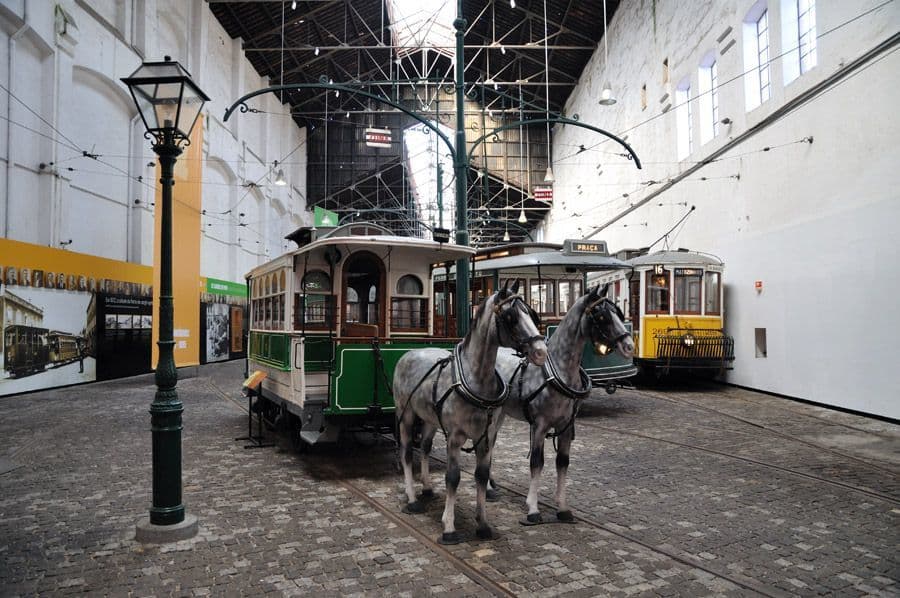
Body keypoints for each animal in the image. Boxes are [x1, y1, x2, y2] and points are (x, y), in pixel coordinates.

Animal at [394, 282, 548, 544]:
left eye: (531, 312)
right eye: (511, 317)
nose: (541, 351)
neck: (476, 378)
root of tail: (407, 353)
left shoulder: (486, 437)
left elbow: (481, 475)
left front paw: (483, 524)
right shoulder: (455, 437)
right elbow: (453, 477)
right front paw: (449, 527)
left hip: (429, 419)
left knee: (424, 447)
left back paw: (426, 488)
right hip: (405, 416)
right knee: (406, 453)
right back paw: (412, 498)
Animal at [492, 286, 632, 524]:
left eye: (617, 313)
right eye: (601, 316)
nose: (629, 345)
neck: (557, 371)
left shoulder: (567, 426)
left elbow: (562, 462)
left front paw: (563, 508)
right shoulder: (539, 426)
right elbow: (536, 463)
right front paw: (533, 509)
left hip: (501, 413)